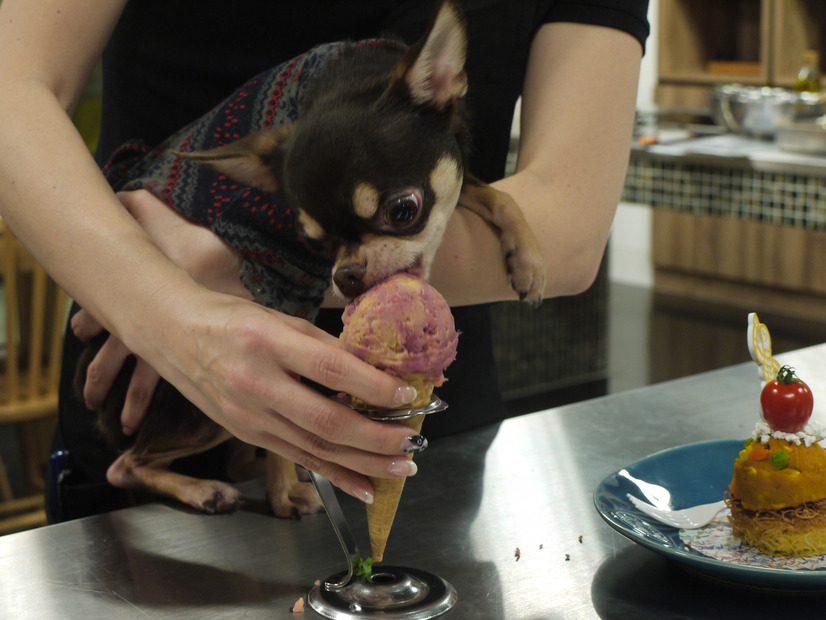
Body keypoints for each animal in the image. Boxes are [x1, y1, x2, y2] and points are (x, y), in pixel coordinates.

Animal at [77, 0, 540, 520]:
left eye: (403, 210)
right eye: (314, 243)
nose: (347, 275)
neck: (341, 81)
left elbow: (494, 193)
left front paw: (529, 257)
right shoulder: (275, 293)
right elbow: (280, 412)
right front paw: (284, 496)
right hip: (193, 406)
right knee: (128, 464)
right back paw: (204, 489)